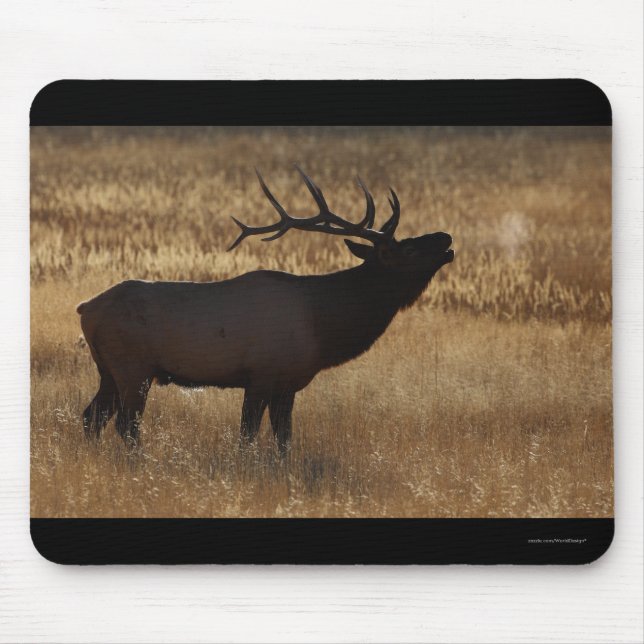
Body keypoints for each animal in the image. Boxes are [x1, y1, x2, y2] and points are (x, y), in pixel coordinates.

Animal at [78, 166, 454, 455]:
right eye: (405, 249)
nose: (446, 237)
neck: (323, 325)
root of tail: (85, 308)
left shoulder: (288, 384)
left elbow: (284, 441)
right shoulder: (261, 375)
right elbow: (247, 436)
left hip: (109, 370)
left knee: (91, 416)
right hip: (133, 367)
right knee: (126, 424)